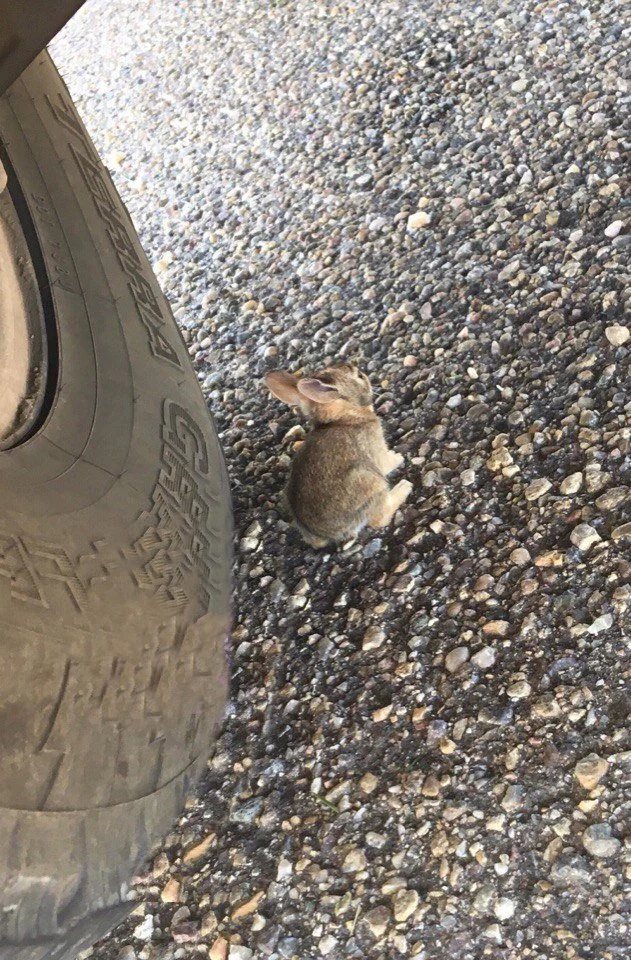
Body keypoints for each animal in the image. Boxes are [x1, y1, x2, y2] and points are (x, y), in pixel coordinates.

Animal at [264, 362, 412, 548]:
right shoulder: (376, 450)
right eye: (359, 376)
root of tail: (334, 535)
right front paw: (398, 456)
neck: (342, 416)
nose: (363, 372)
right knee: (379, 519)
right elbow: (388, 462)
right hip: (371, 482)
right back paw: (404, 487)